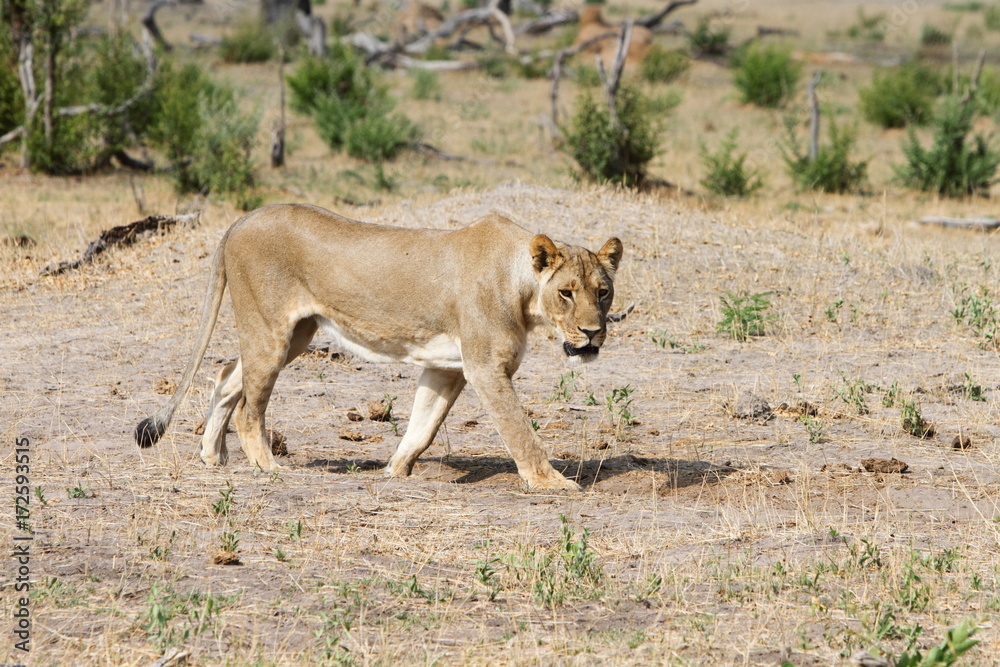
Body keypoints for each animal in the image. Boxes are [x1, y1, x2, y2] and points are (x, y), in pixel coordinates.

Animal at [135, 205, 624, 491]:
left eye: (603, 292)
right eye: (566, 292)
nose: (592, 333)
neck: (521, 284)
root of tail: (240, 220)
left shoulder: (447, 367)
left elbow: (423, 425)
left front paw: (394, 471)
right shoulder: (485, 366)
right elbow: (519, 429)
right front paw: (551, 482)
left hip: (295, 334)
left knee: (225, 376)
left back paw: (212, 456)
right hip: (270, 330)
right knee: (247, 409)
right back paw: (267, 468)